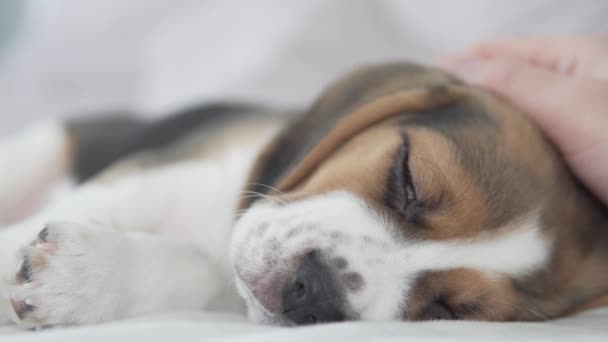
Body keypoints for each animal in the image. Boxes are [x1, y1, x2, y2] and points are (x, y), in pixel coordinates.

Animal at [1, 62, 608, 328]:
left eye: (448, 311)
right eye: (407, 177)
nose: (315, 289)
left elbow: (196, 268)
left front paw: (80, 277)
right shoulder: (162, 173)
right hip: (41, 147)